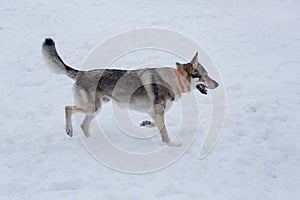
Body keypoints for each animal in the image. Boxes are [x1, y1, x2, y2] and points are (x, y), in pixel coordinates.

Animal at [42, 38, 218, 146]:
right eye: (204, 76)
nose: (217, 84)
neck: (173, 80)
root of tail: (81, 73)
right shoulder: (157, 111)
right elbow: (165, 134)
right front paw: (173, 146)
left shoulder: (154, 112)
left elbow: (155, 125)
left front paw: (146, 124)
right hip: (92, 108)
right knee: (67, 108)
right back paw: (69, 130)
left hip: (96, 109)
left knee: (83, 125)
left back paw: (94, 143)